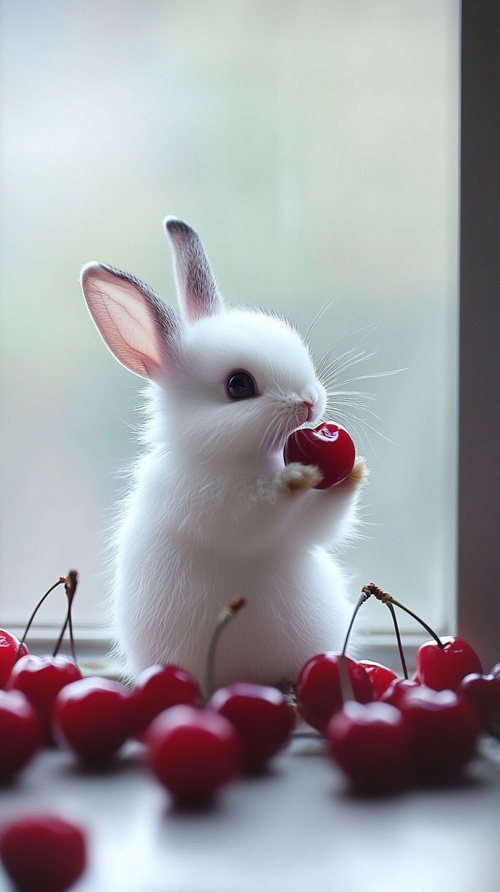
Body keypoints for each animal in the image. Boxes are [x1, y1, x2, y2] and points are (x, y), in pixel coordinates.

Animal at [82, 216, 368, 688]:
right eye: (239, 385)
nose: (311, 403)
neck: (243, 460)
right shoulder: (211, 505)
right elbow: (250, 516)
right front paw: (293, 480)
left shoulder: (302, 530)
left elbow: (321, 524)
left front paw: (356, 470)